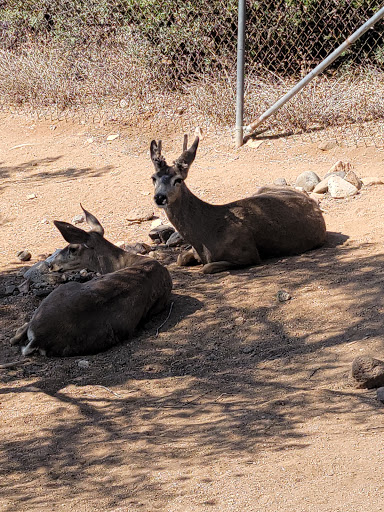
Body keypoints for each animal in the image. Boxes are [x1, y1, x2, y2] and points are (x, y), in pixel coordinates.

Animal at [10, 206, 172, 358]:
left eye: (72, 248)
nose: (51, 265)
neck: (128, 261)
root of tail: (38, 339)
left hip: (60, 291)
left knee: (17, 334)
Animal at [150, 132, 328, 276]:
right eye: (153, 178)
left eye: (178, 180)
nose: (160, 197)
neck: (205, 236)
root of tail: (313, 202)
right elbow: (180, 258)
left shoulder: (248, 254)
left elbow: (206, 268)